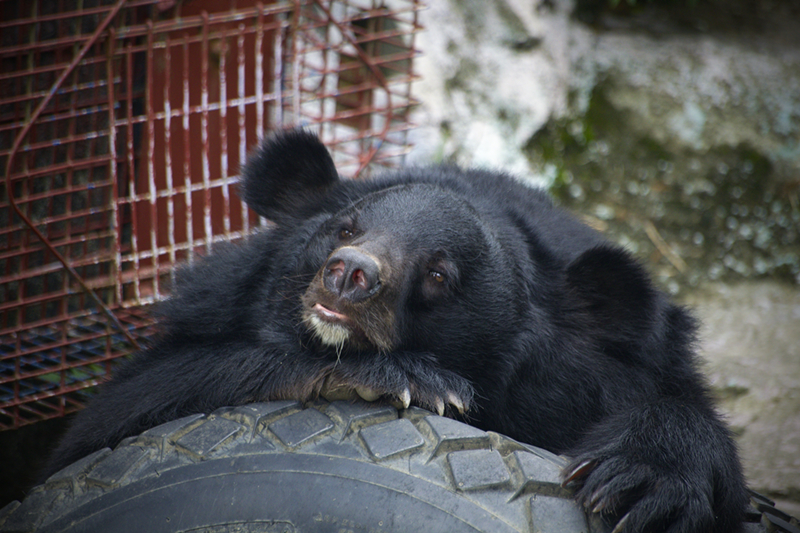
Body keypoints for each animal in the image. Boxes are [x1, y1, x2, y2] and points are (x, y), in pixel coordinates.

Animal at [42, 129, 748, 533]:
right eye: (346, 227)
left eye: (439, 273)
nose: (351, 275)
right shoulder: (208, 319)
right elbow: (127, 407)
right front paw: (401, 379)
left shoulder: (611, 378)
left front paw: (639, 482)